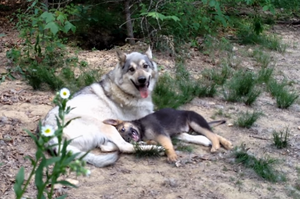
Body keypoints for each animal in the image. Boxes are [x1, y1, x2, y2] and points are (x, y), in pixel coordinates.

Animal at [103, 108, 234, 162]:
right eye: (126, 139)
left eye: (123, 129)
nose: (129, 137)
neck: (141, 127)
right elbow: (151, 142)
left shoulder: (161, 134)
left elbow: (167, 145)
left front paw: (172, 155)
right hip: (183, 133)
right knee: (211, 134)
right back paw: (226, 143)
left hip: (195, 122)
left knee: (212, 134)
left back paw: (216, 145)